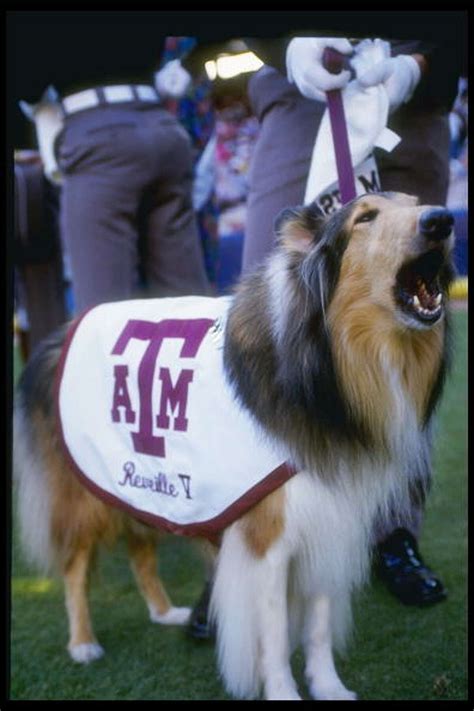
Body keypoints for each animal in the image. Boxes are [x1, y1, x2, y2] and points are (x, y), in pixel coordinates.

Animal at [12, 192, 454, 700]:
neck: (328, 370)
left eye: (417, 203)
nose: (442, 220)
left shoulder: (331, 519)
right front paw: (283, 693)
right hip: (84, 498)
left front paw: (328, 687)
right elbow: (275, 635)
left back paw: (164, 613)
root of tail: (56, 335)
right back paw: (83, 643)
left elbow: (319, 626)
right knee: (75, 570)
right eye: (365, 217)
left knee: (140, 551)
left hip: (137, 481)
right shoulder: (268, 541)